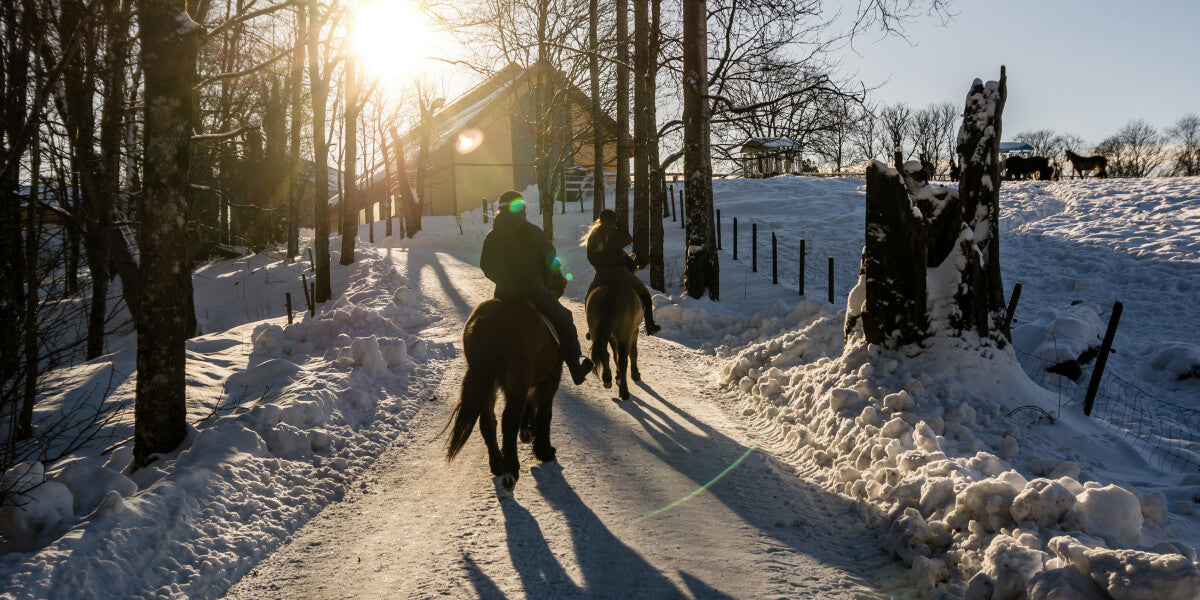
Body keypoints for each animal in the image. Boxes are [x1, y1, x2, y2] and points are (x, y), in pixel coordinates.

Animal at [446, 278, 566, 489]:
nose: (563, 282)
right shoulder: (550, 378)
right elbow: (544, 414)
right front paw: (543, 450)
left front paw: (528, 429)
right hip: (517, 382)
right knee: (508, 420)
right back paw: (511, 469)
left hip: (488, 384)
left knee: (488, 422)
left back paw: (498, 464)